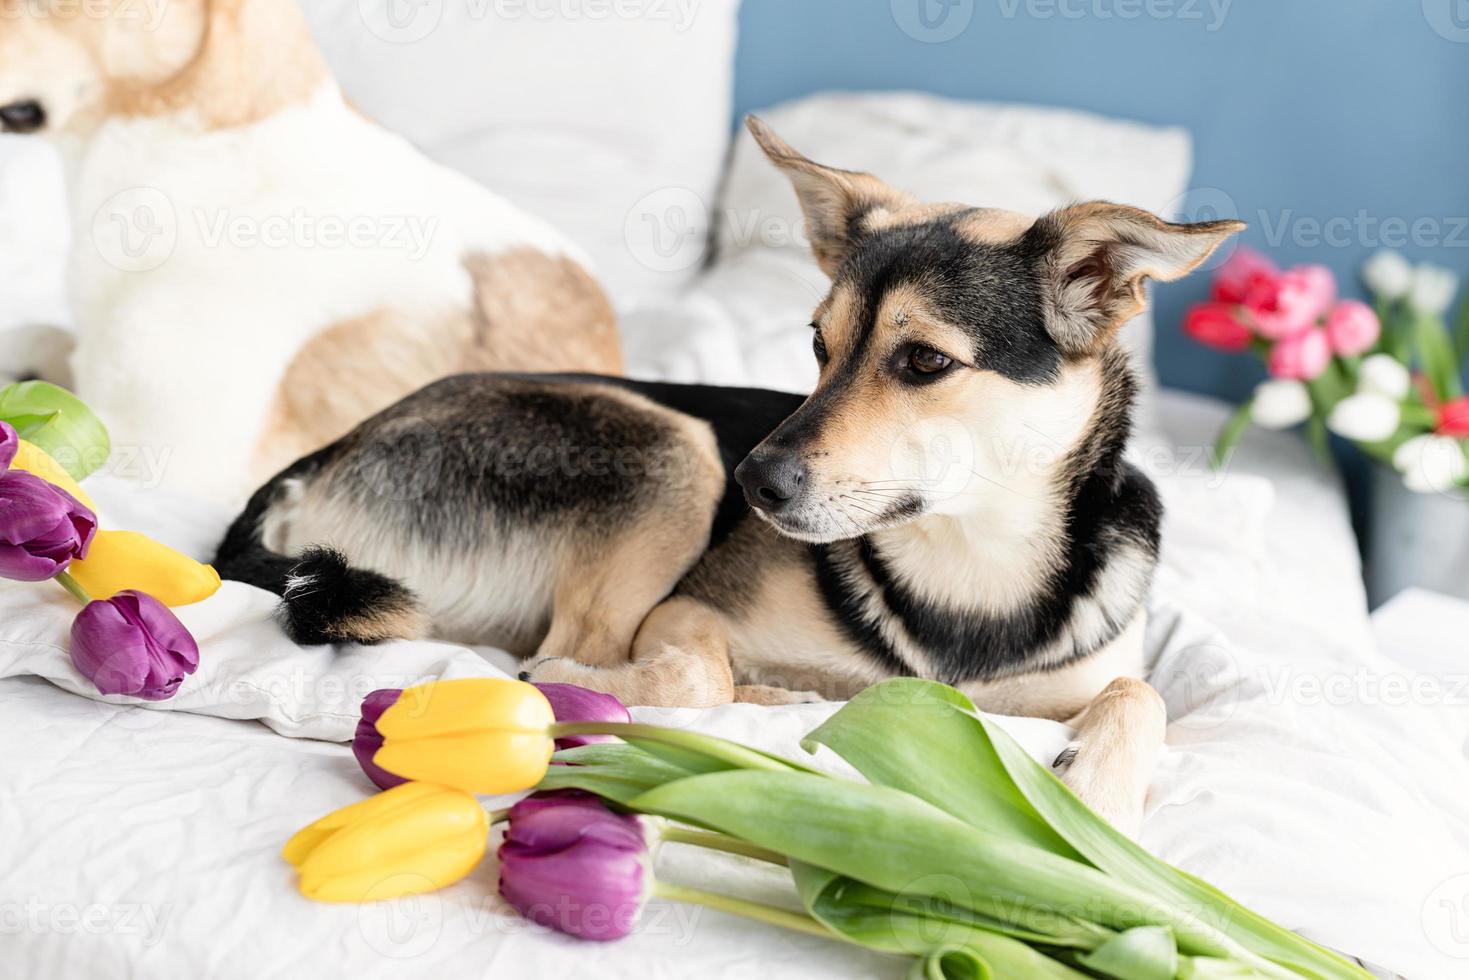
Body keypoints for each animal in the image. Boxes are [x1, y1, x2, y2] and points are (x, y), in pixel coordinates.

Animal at [217, 119, 1245, 834]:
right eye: (819, 345)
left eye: (923, 362)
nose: (756, 486)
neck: (967, 562)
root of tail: (321, 460)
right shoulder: (685, 613)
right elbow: (684, 671)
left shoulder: (1093, 672)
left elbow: (1142, 693)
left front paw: (1098, 798)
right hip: (666, 446)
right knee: (560, 658)